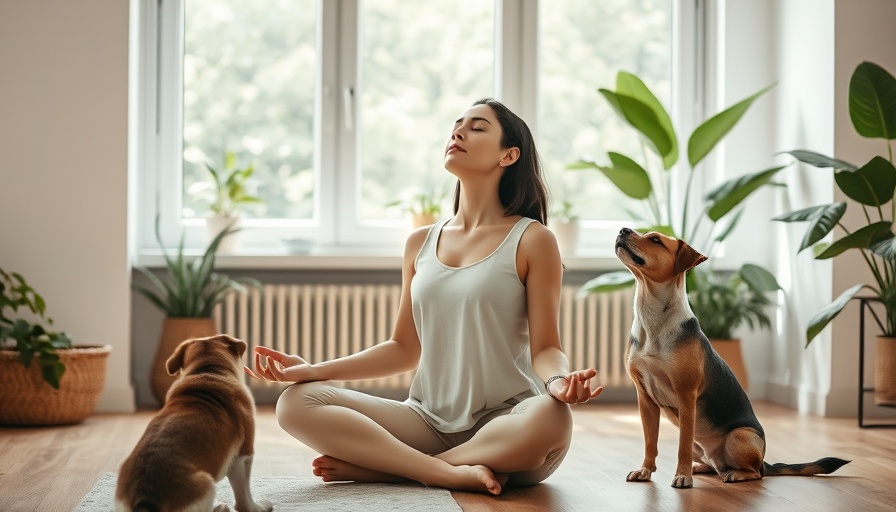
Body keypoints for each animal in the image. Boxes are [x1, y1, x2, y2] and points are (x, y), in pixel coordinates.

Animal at [114, 334, 272, 510]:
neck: (208, 371)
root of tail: (145, 497)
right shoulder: (243, 454)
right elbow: (244, 497)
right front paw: (258, 507)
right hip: (207, 484)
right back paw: (220, 507)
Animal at [616, 228, 848, 488]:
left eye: (655, 240)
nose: (623, 230)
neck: (654, 322)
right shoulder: (645, 398)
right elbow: (650, 442)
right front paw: (645, 470)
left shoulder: (686, 397)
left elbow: (681, 447)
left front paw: (682, 475)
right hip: (701, 443)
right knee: (714, 465)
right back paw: (701, 467)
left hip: (739, 437)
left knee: (755, 472)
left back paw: (734, 474)